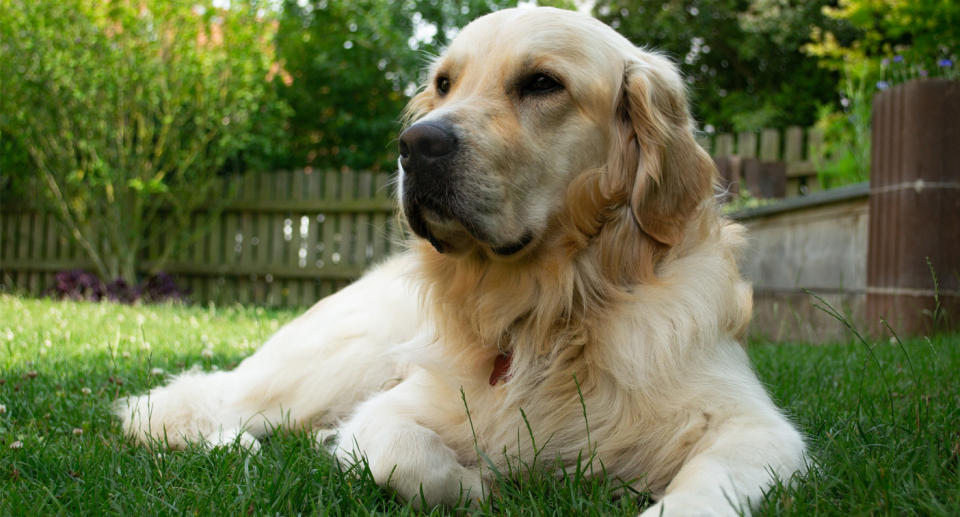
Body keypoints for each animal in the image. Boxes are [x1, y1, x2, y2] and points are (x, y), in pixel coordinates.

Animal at [116, 6, 808, 512]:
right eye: (444, 84)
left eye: (542, 84)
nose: (413, 145)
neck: (549, 312)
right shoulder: (399, 406)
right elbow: (399, 451)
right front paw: (479, 483)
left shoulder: (758, 429)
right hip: (338, 361)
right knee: (188, 403)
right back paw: (236, 446)